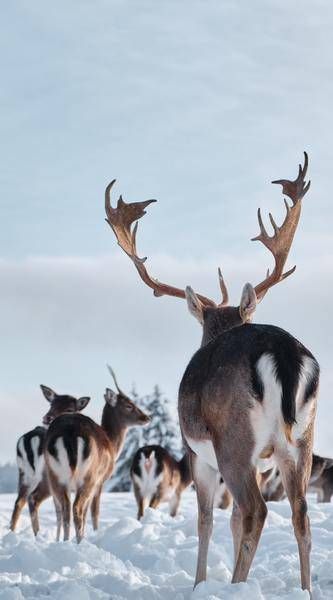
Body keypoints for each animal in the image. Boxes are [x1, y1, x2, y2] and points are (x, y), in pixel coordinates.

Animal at [9, 386, 90, 536]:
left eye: (70, 408)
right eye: (51, 404)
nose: (47, 418)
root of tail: (32, 440)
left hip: (24, 474)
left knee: (19, 501)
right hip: (48, 477)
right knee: (34, 499)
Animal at [44, 368, 149, 540]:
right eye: (129, 405)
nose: (147, 417)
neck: (112, 444)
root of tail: (69, 434)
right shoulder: (101, 480)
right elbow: (94, 512)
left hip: (55, 476)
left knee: (65, 509)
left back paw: (65, 541)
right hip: (88, 476)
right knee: (77, 508)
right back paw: (79, 542)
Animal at [105, 152, 320, 592]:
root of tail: (284, 352)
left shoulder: (196, 454)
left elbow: (205, 519)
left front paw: (198, 584)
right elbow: (231, 520)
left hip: (233, 438)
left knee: (256, 510)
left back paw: (238, 587)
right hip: (302, 439)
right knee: (299, 513)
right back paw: (303, 590)